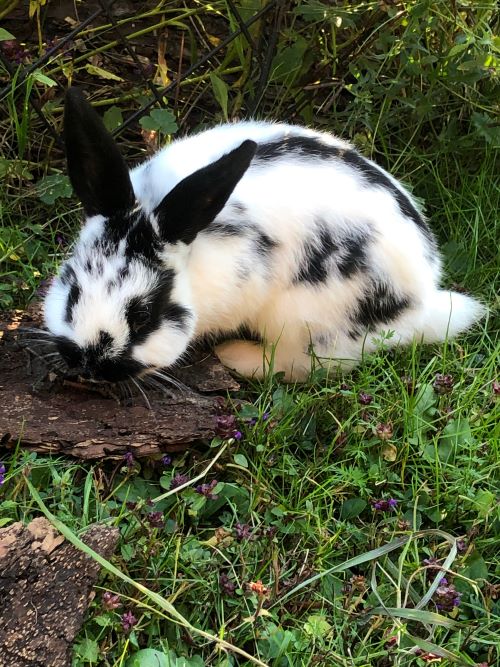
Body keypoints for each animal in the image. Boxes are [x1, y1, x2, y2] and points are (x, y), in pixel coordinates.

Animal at [44, 86, 484, 384]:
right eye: (73, 291)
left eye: (142, 316)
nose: (89, 363)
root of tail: (421, 302)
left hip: (303, 319)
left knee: (301, 364)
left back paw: (236, 355)